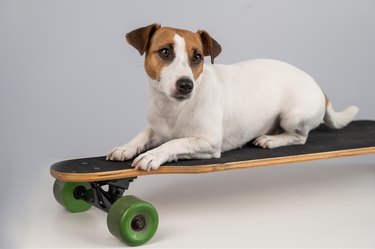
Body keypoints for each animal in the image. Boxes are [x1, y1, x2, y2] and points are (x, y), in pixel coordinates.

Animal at [106, 23, 358, 171]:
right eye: (165, 52)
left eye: (197, 57)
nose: (186, 85)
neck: (174, 108)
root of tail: (319, 87)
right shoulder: (156, 129)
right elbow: (142, 134)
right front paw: (126, 147)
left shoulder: (208, 143)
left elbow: (175, 142)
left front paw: (153, 155)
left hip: (292, 116)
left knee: (299, 137)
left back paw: (271, 140)